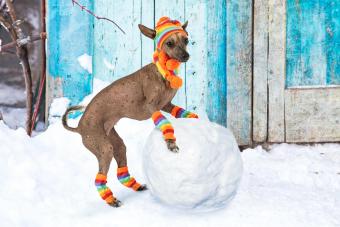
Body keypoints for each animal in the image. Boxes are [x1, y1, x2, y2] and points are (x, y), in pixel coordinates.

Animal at [62, 16, 198, 207]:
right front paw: (171, 143)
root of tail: (79, 127)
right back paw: (111, 200)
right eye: (169, 43)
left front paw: (194, 118)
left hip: (116, 144)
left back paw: (136, 186)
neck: (162, 71)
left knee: (121, 173)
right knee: (98, 178)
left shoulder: (167, 106)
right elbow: (165, 123)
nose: (185, 56)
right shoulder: (152, 107)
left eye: (185, 40)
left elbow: (182, 113)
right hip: (104, 148)